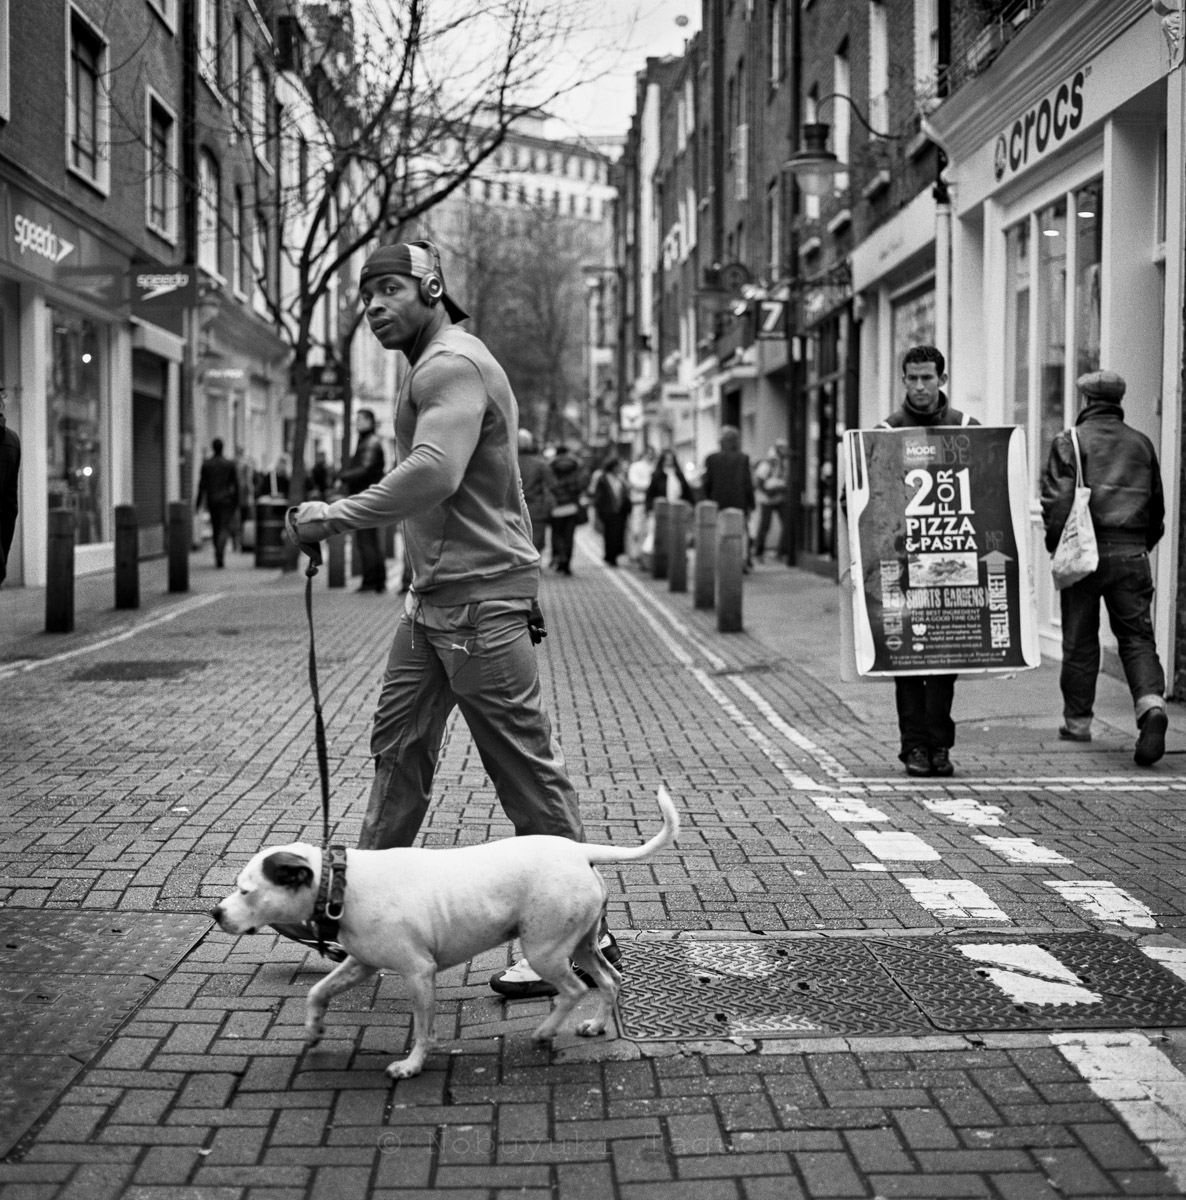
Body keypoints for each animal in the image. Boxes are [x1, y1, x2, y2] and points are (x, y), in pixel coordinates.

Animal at [213, 787, 677, 1080]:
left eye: (245, 890)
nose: (216, 912)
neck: (338, 882)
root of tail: (578, 850)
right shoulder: (360, 964)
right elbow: (317, 992)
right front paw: (312, 1030)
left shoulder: (419, 972)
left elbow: (424, 1029)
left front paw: (412, 1065)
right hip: (580, 945)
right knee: (609, 980)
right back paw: (595, 1025)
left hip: (545, 950)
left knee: (574, 990)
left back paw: (546, 1032)